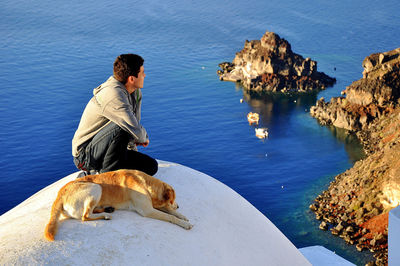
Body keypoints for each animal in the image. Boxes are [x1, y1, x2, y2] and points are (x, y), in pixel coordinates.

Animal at [44, 170, 193, 241]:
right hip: (96, 187)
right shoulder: (147, 210)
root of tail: (59, 194)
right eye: (174, 199)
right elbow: (170, 217)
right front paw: (184, 223)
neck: (146, 183)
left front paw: (182, 216)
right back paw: (106, 215)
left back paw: (107, 209)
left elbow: (170, 211)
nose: (178, 206)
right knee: (85, 216)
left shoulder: (153, 205)